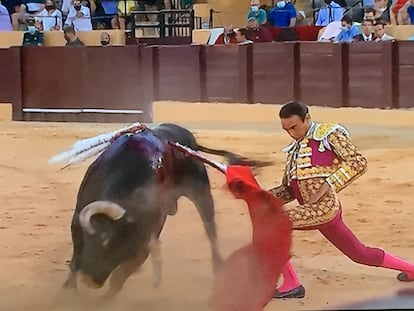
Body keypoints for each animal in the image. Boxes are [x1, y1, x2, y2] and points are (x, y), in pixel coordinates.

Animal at [63, 122, 266, 300]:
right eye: (103, 240)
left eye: (125, 253)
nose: (90, 281)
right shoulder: (77, 221)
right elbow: (76, 257)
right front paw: (68, 289)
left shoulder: (145, 242)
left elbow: (118, 279)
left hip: (200, 190)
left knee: (210, 227)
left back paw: (218, 265)